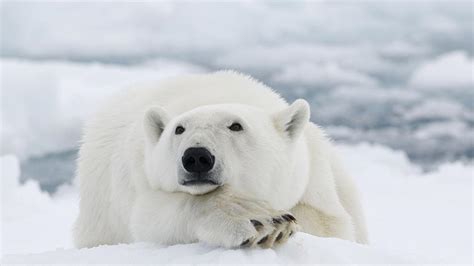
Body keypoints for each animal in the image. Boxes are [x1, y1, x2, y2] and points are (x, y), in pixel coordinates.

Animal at [75, 70, 370, 249]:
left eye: (236, 126)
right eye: (179, 129)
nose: (196, 156)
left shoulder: (312, 175)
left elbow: (329, 223)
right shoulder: (140, 174)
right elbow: (151, 216)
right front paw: (261, 221)